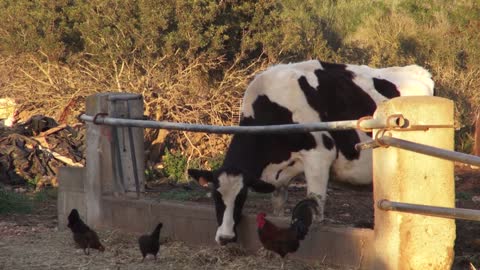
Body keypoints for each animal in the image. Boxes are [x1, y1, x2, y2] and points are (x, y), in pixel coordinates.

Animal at [188, 60, 436, 246]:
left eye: (241, 197)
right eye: (216, 196)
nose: (225, 237)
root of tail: (419, 72)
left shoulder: (319, 156)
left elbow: (316, 202)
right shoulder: (280, 175)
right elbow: (278, 204)